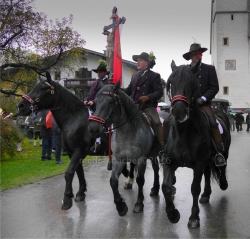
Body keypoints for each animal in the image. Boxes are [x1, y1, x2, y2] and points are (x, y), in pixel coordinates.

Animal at [88, 81, 160, 215]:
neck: (127, 131)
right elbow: (113, 180)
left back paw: (156, 188)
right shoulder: (118, 159)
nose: (93, 129)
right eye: (95, 102)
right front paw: (120, 206)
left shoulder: (141, 159)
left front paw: (139, 204)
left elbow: (140, 180)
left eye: (111, 101)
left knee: (157, 169)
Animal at [162, 59, 230, 228]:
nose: (179, 112)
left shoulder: (198, 163)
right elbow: (166, 187)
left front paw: (194, 217)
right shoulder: (169, 162)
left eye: (192, 83)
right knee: (207, 173)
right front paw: (173, 215)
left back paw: (223, 184)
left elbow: (194, 188)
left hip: (224, 152)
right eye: (171, 83)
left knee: (222, 166)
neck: (183, 133)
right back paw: (206, 194)